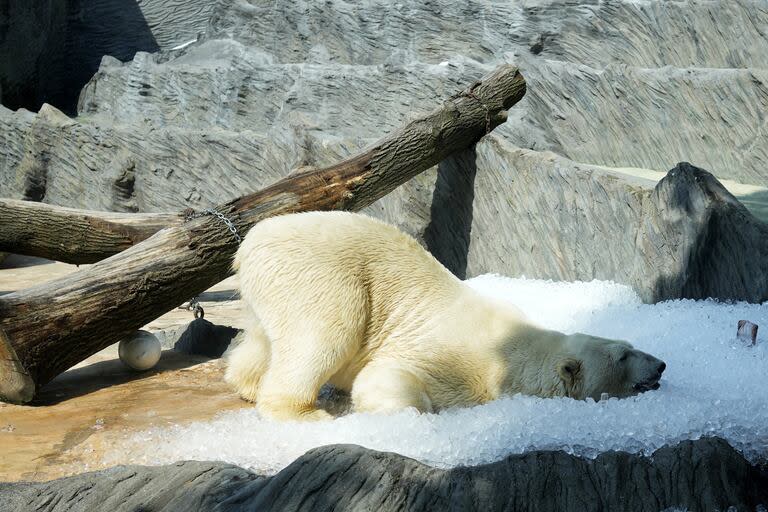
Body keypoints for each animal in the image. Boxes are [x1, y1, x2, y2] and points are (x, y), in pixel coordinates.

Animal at [225, 211, 664, 420]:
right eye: (623, 357)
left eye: (631, 345)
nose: (661, 364)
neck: (512, 348)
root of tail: (250, 242)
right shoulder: (459, 360)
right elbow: (386, 374)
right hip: (321, 274)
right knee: (325, 335)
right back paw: (304, 413)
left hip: (273, 286)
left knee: (267, 338)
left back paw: (247, 383)